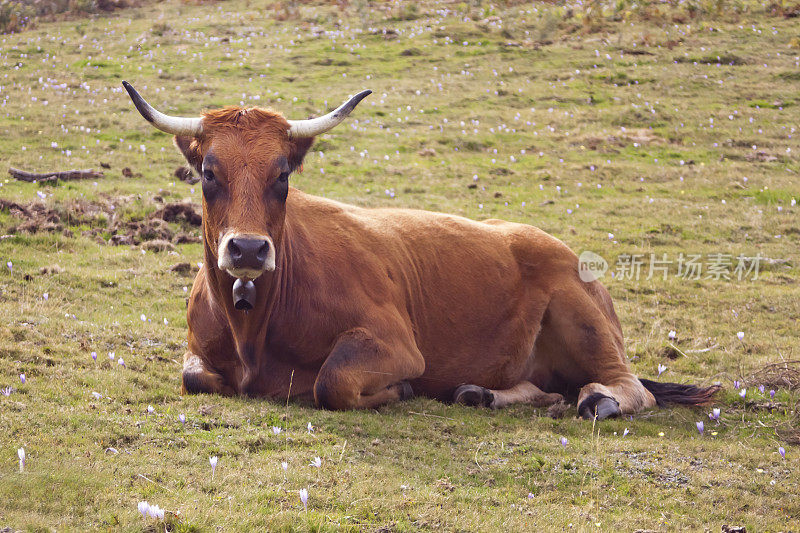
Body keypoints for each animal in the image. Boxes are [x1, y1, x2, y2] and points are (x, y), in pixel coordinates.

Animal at [123, 81, 720, 418]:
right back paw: (482, 395)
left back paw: (598, 399)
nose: (247, 250)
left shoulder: (396, 344)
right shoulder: (200, 354)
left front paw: (403, 391)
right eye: (207, 172)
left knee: (629, 385)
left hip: (584, 321)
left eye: (283, 174)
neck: (254, 327)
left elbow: (331, 381)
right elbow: (194, 376)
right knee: (540, 388)